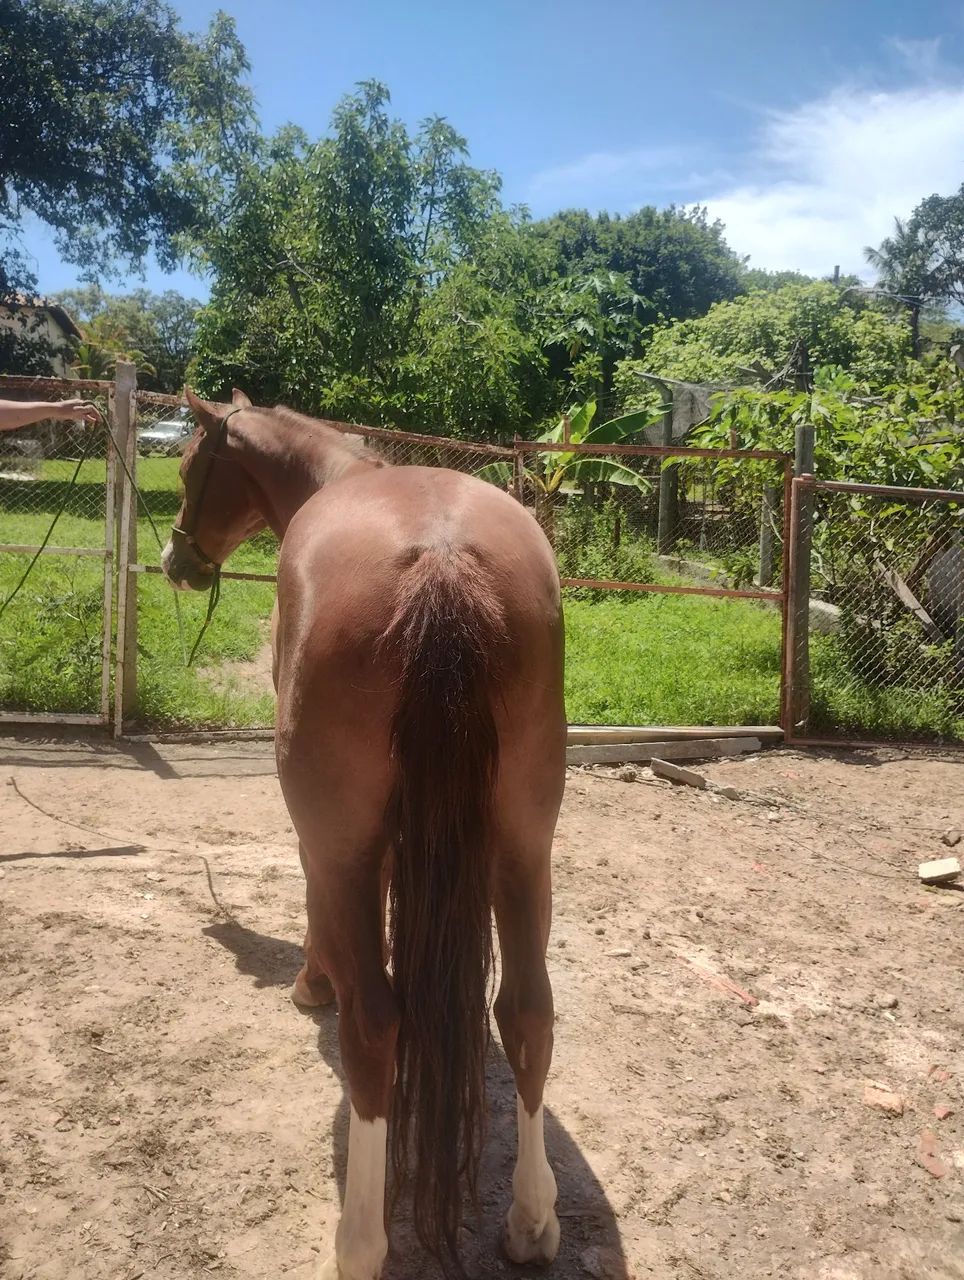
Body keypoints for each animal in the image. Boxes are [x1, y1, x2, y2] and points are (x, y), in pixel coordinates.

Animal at [162, 389, 567, 1280]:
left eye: (188, 468)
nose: (176, 561)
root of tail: (443, 565)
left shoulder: (333, 841)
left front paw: (314, 980)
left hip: (344, 840)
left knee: (376, 1025)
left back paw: (361, 1241)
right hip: (525, 848)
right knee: (527, 1011)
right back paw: (532, 1220)